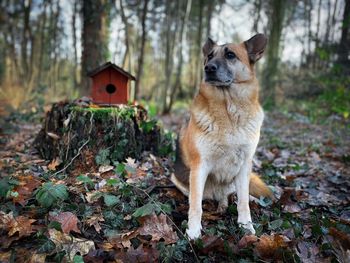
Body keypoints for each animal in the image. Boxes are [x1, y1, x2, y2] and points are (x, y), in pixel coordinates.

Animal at [171, 34, 272, 240]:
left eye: (230, 55)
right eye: (209, 56)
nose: (208, 68)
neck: (229, 109)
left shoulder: (244, 166)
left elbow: (243, 202)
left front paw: (246, 226)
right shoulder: (200, 166)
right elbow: (196, 205)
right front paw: (193, 231)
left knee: (234, 194)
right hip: (180, 179)